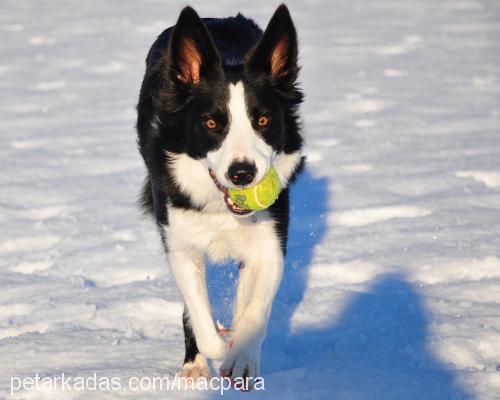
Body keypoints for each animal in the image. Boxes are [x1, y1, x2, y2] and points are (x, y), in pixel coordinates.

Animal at [135, 3, 302, 384]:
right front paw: (216, 346)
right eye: (211, 123)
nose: (242, 174)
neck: (220, 208)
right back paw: (194, 365)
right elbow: (201, 320)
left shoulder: (270, 240)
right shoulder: (179, 242)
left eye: (263, 120)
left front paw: (241, 356)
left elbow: (254, 309)